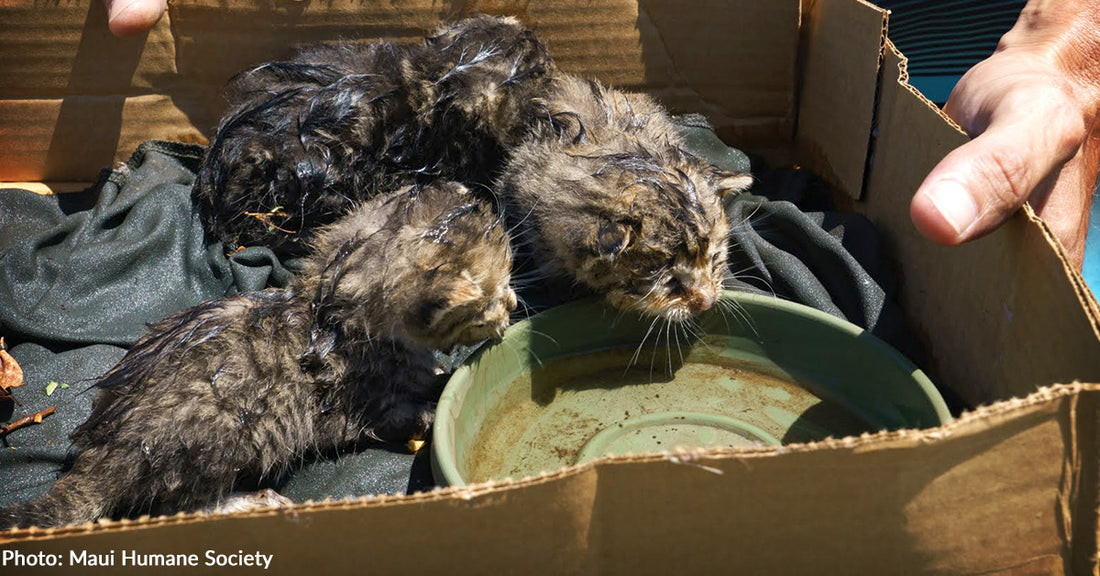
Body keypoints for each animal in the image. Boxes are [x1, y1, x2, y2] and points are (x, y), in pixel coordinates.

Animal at [0, 182, 514, 529]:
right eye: (495, 295)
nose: (511, 310)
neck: (327, 309)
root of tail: (102, 452)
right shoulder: (356, 404)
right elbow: (405, 408)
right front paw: (430, 406)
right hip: (220, 435)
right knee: (173, 507)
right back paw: (256, 500)